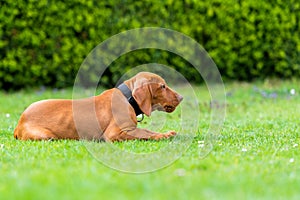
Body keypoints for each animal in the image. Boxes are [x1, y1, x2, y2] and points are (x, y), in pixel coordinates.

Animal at [14, 71, 183, 141]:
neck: (127, 98)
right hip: (45, 136)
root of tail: (19, 123)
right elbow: (145, 133)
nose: (181, 97)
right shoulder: (115, 133)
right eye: (162, 86)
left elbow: (147, 130)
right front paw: (164, 136)